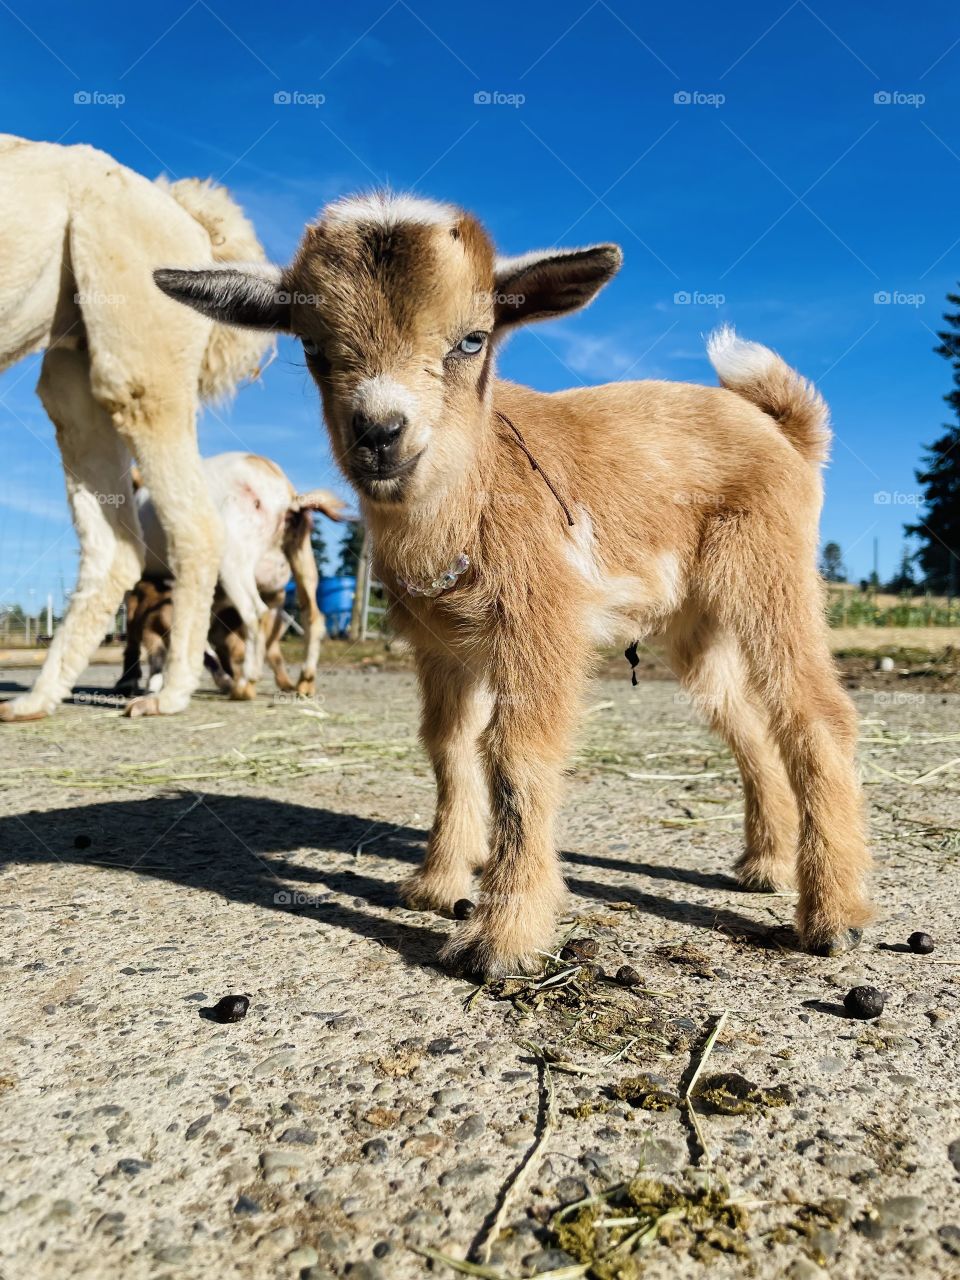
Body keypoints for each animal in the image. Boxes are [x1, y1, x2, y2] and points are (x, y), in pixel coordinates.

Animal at [117, 452, 344, 699]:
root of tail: (284, 493)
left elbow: (132, 629)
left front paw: (127, 681)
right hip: (301, 555)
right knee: (312, 616)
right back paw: (305, 681)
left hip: (233, 559)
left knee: (256, 614)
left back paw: (246, 684)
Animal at [155, 191, 873, 979]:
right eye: (311, 346)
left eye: (473, 340)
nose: (380, 433)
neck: (472, 494)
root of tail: (785, 433)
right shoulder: (443, 648)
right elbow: (447, 747)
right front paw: (438, 884)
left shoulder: (541, 621)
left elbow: (516, 756)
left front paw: (504, 937)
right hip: (696, 626)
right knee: (744, 719)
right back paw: (765, 865)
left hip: (772, 573)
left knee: (815, 713)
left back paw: (834, 915)